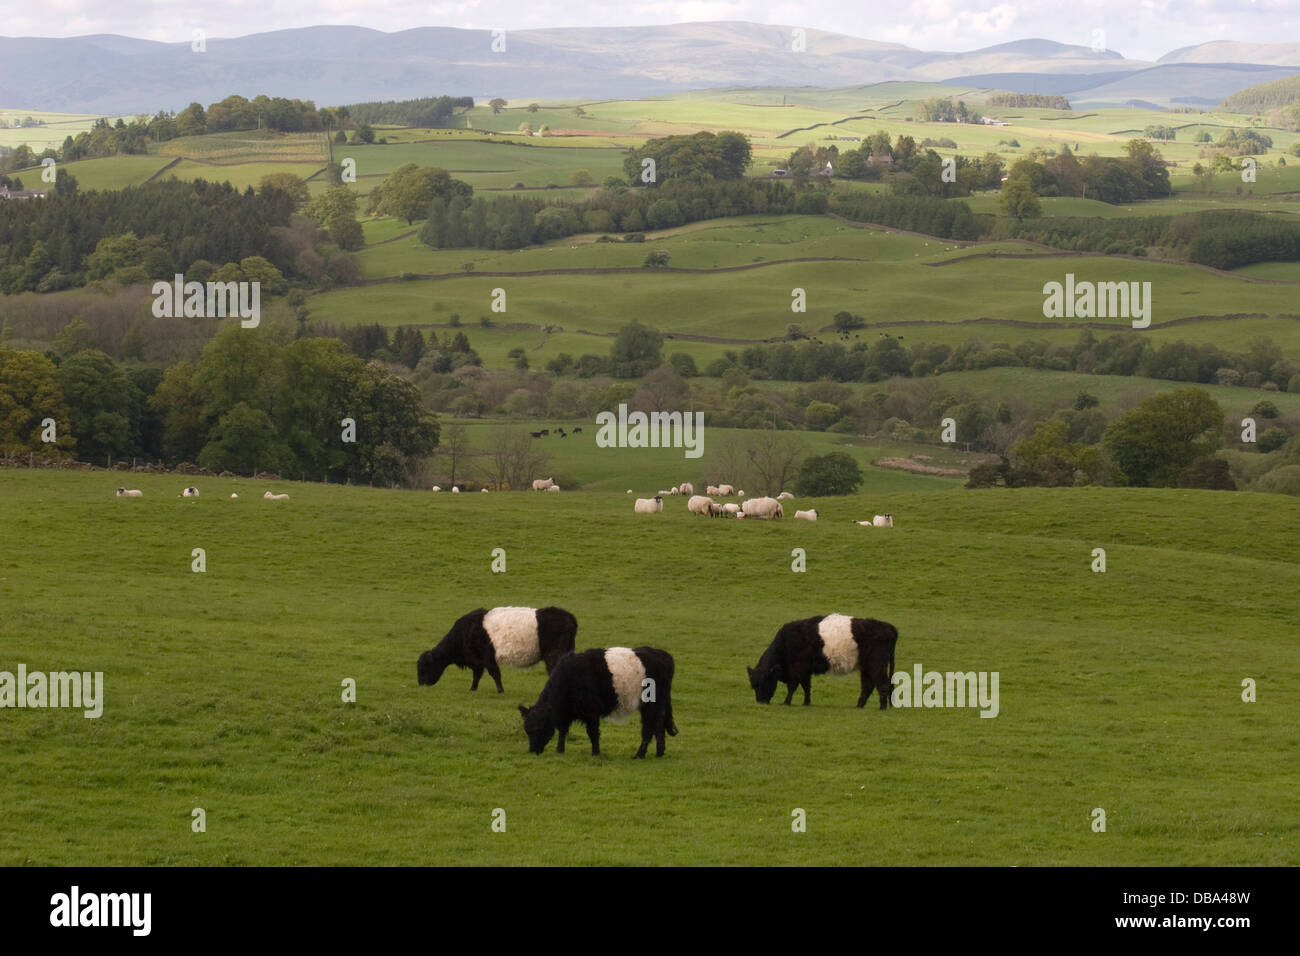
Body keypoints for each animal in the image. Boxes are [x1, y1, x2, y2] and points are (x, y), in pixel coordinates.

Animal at [417, 606, 577, 693]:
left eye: (424, 667)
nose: (421, 685)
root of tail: (568, 616)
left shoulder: (487, 658)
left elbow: (495, 674)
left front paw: (500, 691)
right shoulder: (477, 661)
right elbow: (477, 676)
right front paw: (473, 689)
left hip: (554, 655)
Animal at [518, 647, 677, 757]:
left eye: (539, 728)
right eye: (527, 730)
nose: (533, 750)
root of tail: (661, 654)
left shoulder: (591, 712)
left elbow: (592, 733)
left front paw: (595, 753)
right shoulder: (565, 714)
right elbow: (562, 731)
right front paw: (559, 751)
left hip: (651, 705)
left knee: (649, 728)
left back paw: (640, 755)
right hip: (657, 705)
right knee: (659, 726)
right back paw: (659, 752)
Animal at [747, 614, 898, 710]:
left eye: (764, 682)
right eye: (753, 686)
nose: (761, 702)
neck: (786, 642)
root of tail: (888, 627)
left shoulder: (797, 668)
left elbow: (793, 686)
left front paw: (786, 702)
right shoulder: (805, 670)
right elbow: (806, 687)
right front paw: (806, 703)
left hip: (876, 665)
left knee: (882, 684)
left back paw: (882, 707)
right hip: (866, 667)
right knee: (868, 686)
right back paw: (859, 706)